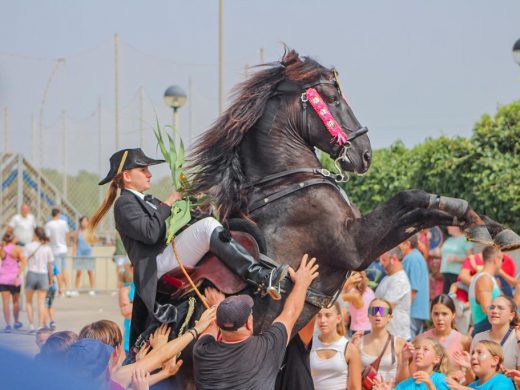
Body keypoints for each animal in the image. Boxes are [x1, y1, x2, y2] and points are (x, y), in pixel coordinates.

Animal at [175, 48, 520, 386]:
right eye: (333, 99)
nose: (365, 154)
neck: (287, 184)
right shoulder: (355, 247)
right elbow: (411, 198)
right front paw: (477, 222)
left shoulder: (364, 242)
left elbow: (426, 208)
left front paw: (490, 228)